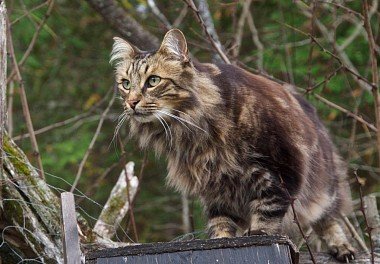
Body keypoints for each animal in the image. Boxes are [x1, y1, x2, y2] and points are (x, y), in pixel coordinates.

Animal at [111, 29, 354, 262]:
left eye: (153, 81)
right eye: (126, 84)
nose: (131, 102)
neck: (192, 130)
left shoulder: (281, 171)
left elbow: (266, 215)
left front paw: (258, 234)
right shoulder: (215, 187)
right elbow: (221, 226)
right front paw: (222, 241)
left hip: (325, 184)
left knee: (329, 216)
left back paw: (341, 247)